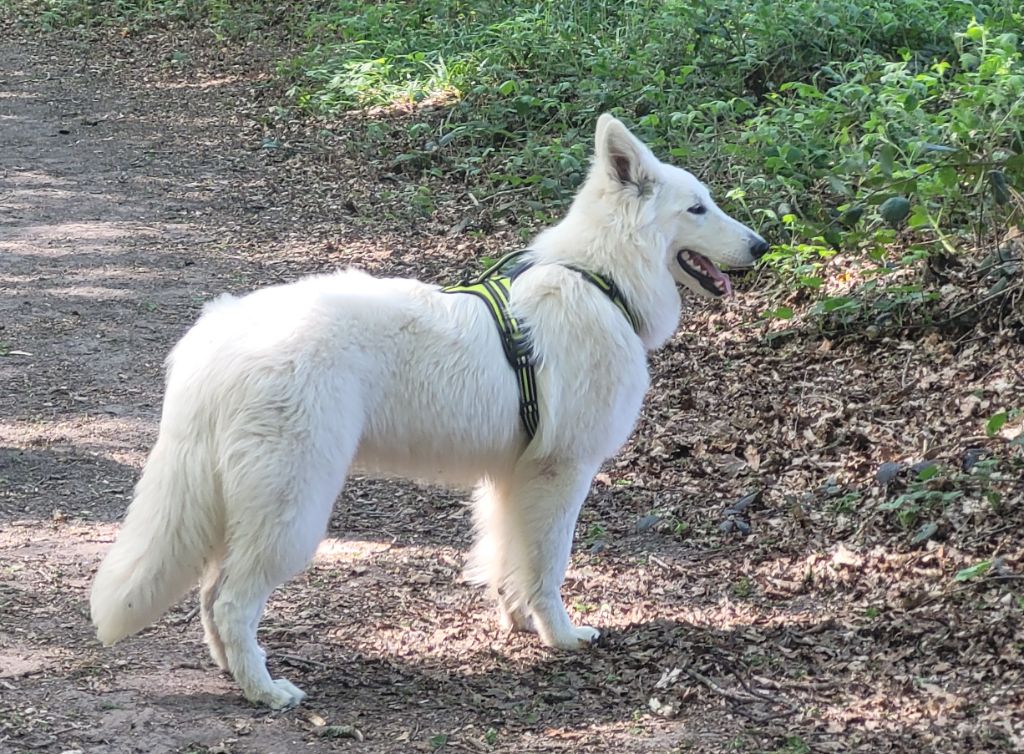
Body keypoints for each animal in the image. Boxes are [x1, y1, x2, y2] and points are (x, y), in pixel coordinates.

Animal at [92, 114, 770, 708]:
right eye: (698, 208)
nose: (763, 245)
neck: (599, 278)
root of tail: (218, 338)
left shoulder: (512, 479)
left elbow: (508, 558)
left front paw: (518, 622)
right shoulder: (562, 474)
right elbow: (548, 566)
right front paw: (560, 636)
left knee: (210, 596)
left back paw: (233, 674)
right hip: (291, 506)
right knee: (231, 600)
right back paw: (265, 690)